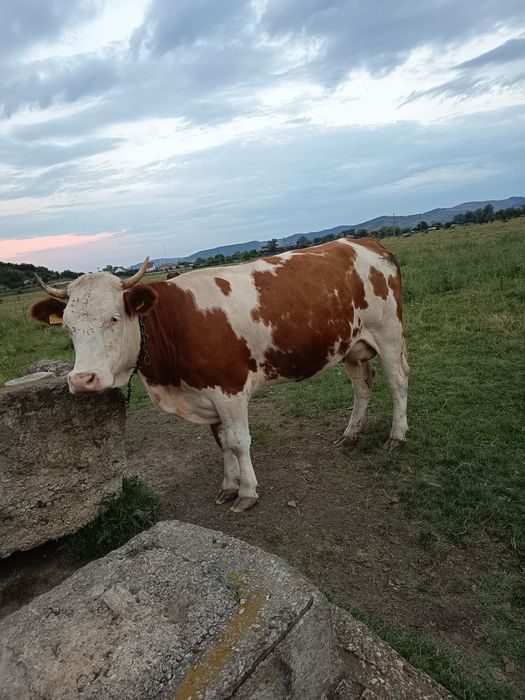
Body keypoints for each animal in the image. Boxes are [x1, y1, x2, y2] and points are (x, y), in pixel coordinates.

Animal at [30, 238, 409, 512]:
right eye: (67, 326)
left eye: (113, 317)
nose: (82, 380)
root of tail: (363, 242)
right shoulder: (205, 391)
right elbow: (222, 441)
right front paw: (228, 487)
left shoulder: (229, 388)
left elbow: (239, 442)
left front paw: (247, 493)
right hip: (351, 344)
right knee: (362, 385)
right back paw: (351, 434)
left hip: (388, 334)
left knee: (397, 382)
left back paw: (396, 436)